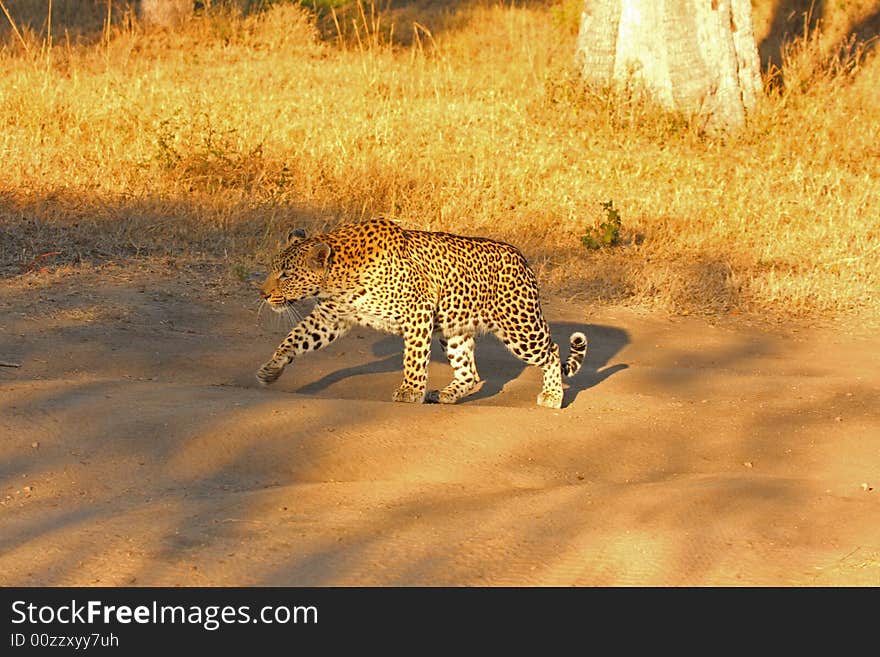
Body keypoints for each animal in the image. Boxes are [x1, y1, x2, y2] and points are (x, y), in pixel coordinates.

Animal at [256, 218, 584, 408]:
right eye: (273, 269)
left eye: (286, 275)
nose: (263, 293)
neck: (338, 277)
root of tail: (523, 259)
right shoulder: (331, 316)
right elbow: (295, 338)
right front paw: (271, 369)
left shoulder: (418, 310)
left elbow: (413, 357)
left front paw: (410, 391)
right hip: (455, 329)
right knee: (469, 372)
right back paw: (447, 394)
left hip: (520, 329)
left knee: (552, 351)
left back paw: (553, 396)